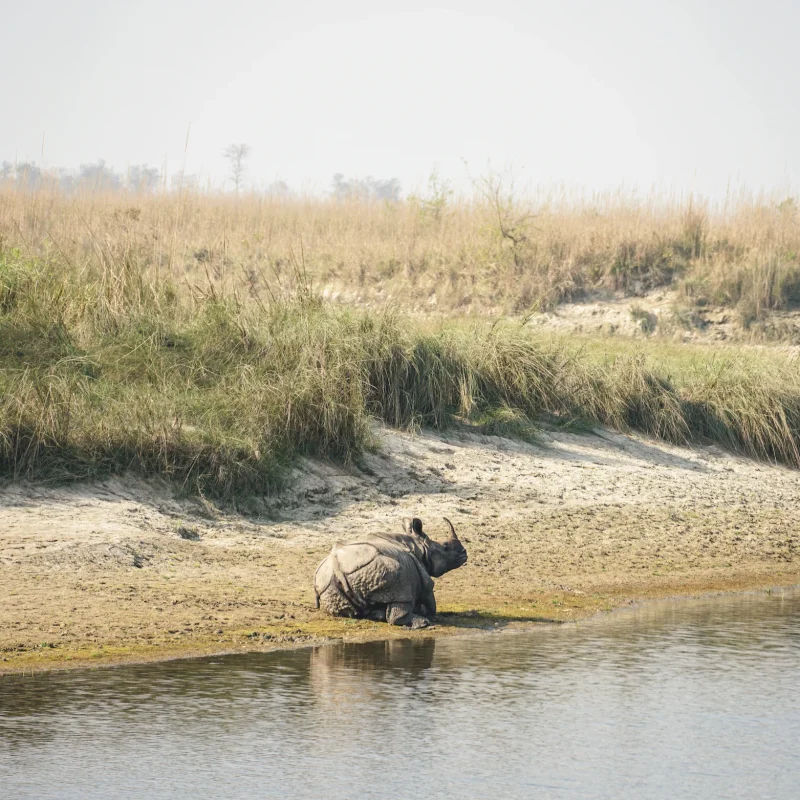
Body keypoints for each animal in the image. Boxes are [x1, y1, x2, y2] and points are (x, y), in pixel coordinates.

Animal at [313, 517, 467, 629]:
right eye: (445, 547)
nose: (464, 552)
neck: (421, 547)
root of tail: (337, 567)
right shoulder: (423, 576)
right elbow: (429, 596)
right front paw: (427, 613)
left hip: (328, 584)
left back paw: (377, 615)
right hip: (382, 568)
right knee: (400, 582)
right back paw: (423, 623)